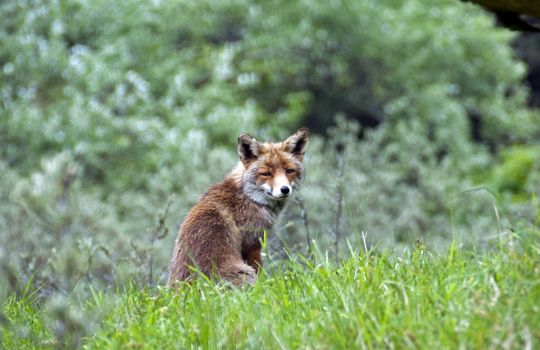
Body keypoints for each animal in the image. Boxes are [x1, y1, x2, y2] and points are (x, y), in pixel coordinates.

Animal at [169, 129, 312, 288]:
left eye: (289, 171)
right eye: (266, 173)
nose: (285, 189)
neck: (248, 197)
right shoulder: (252, 244)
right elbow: (260, 273)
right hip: (243, 273)